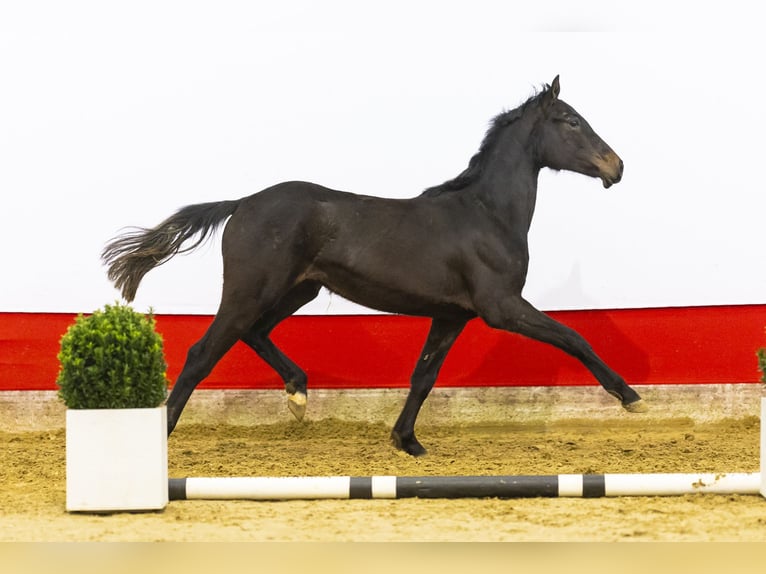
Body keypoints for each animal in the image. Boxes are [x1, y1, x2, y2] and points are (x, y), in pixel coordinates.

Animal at [103, 76, 648, 456]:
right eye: (571, 120)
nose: (617, 166)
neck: (487, 214)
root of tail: (241, 204)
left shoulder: (451, 314)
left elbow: (423, 376)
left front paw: (407, 441)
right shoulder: (502, 307)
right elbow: (574, 336)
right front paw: (630, 396)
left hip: (297, 289)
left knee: (255, 333)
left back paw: (298, 393)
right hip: (249, 290)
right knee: (203, 352)